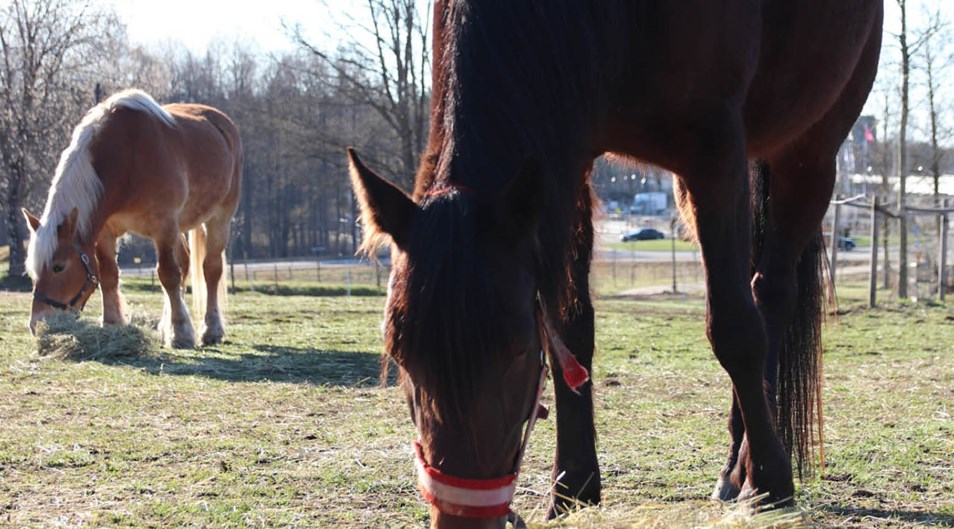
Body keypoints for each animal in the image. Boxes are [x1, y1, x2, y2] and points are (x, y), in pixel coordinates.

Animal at [23, 88, 242, 348]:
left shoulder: (163, 225)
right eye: (33, 270)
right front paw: (112, 322)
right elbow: (109, 275)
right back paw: (166, 327)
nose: (38, 324)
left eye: (58, 267)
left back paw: (211, 329)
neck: (128, 157)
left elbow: (168, 274)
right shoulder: (105, 232)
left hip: (219, 218)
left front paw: (181, 332)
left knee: (210, 269)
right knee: (185, 263)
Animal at [346, 2, 880, 524]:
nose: (463, 517)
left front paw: (772, 481)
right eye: (400, 354)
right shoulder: (569, 155)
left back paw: (751, 469)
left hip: (808, 155)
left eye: (516, 350)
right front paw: (573, 486)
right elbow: (569, 325)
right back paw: (733, 465)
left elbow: (735, 331)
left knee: (769, 296)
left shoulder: (715, 152)